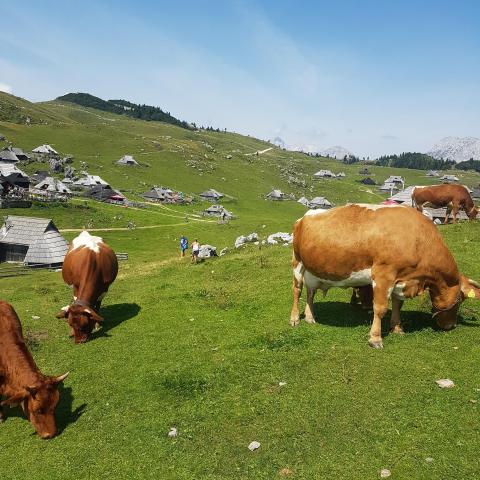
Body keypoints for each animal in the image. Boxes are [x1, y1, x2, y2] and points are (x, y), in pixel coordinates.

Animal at [288, 204, 480, 346]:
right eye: (460, 299)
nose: (451, 325)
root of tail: (304, 216)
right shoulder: (383, 275)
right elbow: (380, 308)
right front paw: (375, 338)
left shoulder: (401, 279)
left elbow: (397, 305)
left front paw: (397, 328)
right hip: (297, 262)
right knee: (297, 290)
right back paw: (295, 319)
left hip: (313, 270)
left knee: (310, 293)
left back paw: (310, 317)